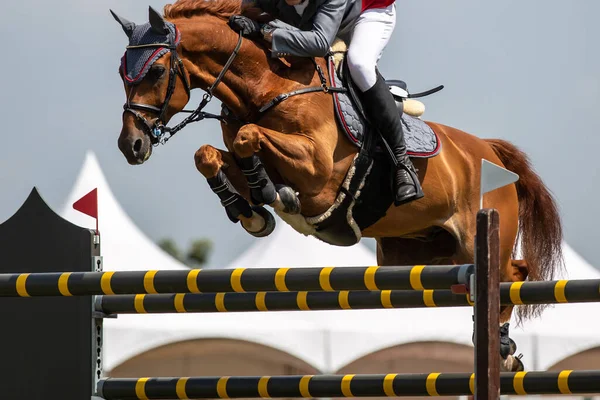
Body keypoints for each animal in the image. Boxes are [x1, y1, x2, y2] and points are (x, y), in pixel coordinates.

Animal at [111, 0, 564, 370]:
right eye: (121, 72)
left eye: (155, 70)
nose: (130, 146)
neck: (267, 85)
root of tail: (489, 150)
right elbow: (209, 154)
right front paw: (251, 211)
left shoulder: (317, 171)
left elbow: (249, 139)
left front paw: (272, 196)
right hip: (421, 253)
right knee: (498, 276)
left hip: (477, 239)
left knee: (512, 273)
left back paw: (501, 349)